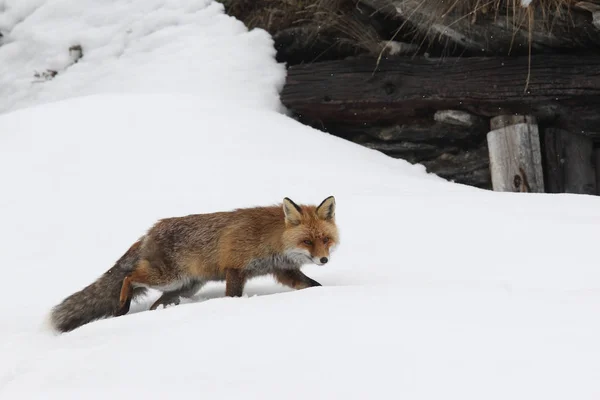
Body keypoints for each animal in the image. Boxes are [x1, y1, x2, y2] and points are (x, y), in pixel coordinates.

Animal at [49, 196, 340, 332]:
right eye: (307, 241)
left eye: (325, 239)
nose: (324, 259)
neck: (271, 239)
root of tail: (150, 231)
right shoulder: (235, 268)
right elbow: (233, 295)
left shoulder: (283, 271)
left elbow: (312, 285)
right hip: (168, 278)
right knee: (129, 277)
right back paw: (122, 305)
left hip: (183, 288)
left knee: (154, 304)